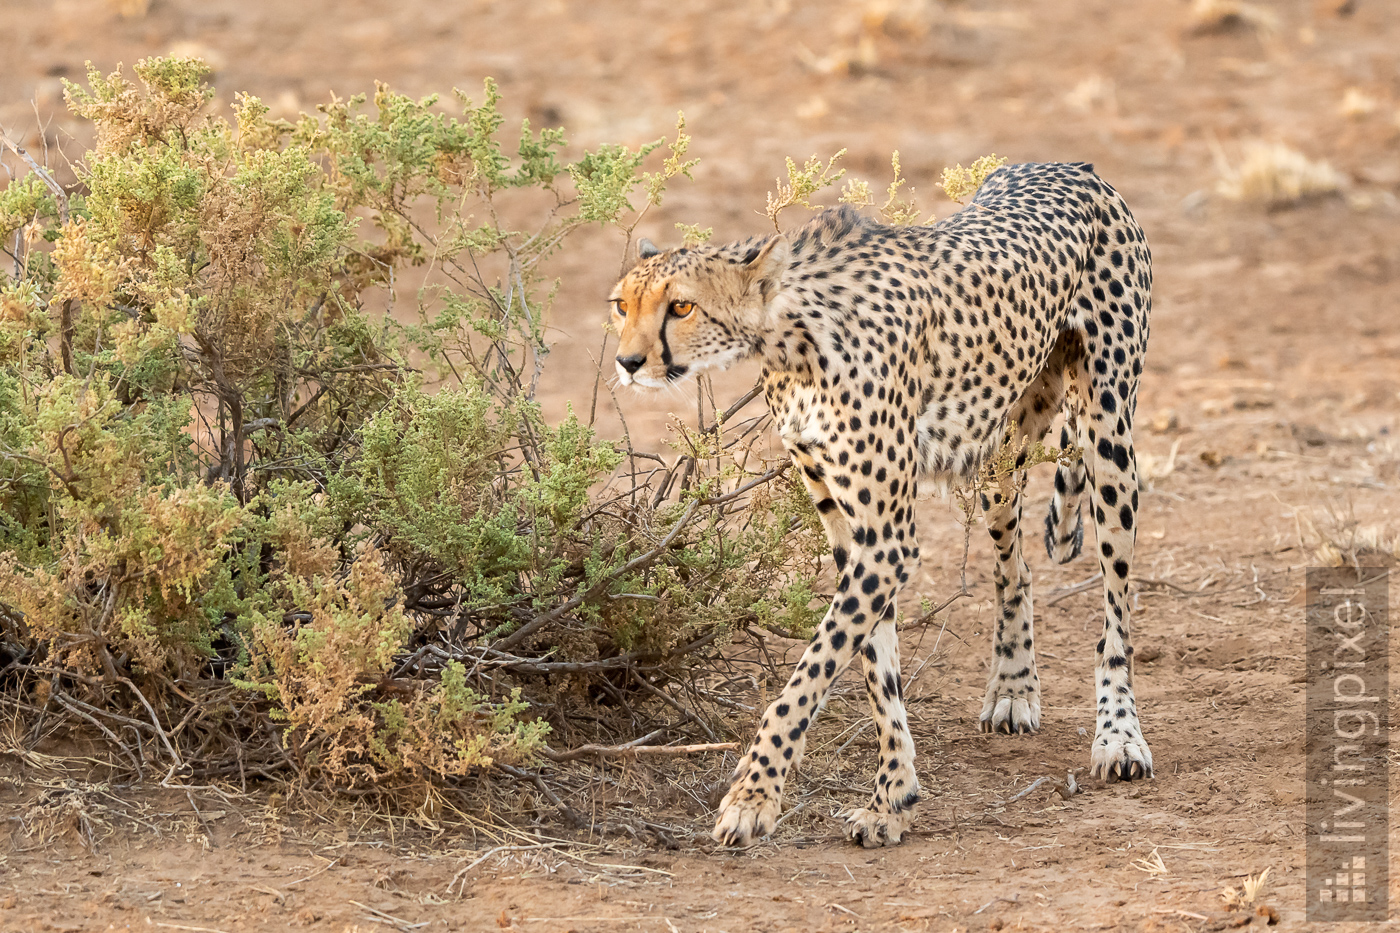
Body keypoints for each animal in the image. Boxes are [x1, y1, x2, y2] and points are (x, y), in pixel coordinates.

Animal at [607, 161, 1153, 851]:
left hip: (1109, 433)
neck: (791, 337)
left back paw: (1120, 736)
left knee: (1117, 606)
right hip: (998, 453)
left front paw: (752, 798)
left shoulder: (887, 539)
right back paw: (1013, 686)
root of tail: (1068, 166)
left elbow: (806, 678)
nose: (628, 362)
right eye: (621, 306)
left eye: (681, 306)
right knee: (1016, 568)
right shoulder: (852, 531)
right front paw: (894, 798)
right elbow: (876, 670)